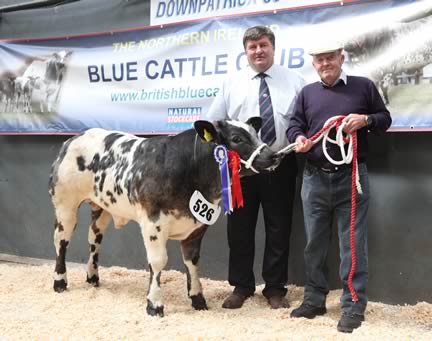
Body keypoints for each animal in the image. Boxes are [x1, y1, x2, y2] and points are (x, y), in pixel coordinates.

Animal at [49, 119, 280, 316]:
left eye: (255, 134)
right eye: (237, 138)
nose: (274, 156)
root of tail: (74, 139)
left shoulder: (197, 225)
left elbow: (192, 261)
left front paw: (198, 299)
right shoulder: (153, 223)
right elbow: (158, 262)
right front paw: (154, 304)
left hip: (101, 208)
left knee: (94, 238)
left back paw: (93, 278)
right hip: (65, 204)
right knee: (61, 240)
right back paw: (60, 282)